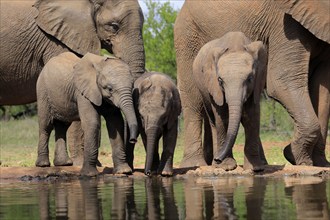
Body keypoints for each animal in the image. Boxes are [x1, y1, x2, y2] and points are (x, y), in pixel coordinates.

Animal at [193, 31, 268, 171]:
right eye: (220, 80)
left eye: (250, 78)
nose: (218, 159)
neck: (236, 46)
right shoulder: (215, 87)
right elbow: (223, 116)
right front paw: (227, 166)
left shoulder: (257, 84)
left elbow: (252, 116)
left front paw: (255, 168)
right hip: (203, 90)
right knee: (213, 121)